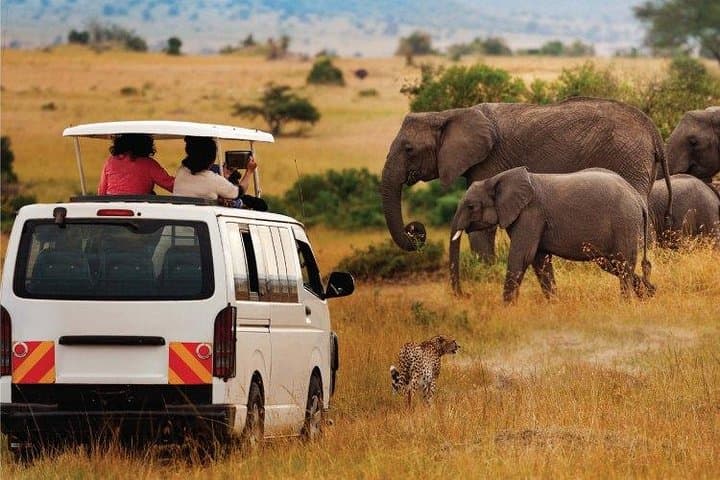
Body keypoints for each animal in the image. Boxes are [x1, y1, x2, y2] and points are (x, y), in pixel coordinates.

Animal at [381, 97, 672, 262]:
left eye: (409, 149)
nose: (415, 229)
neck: (447, 114)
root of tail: (653, 131)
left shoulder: (490, 161)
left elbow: (483, 228)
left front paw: (485, 272)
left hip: (626, 158)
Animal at [449, 167, 655, 302]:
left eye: (471, 207)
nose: (465, 295)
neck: (496, 179)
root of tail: (638, 198)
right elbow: (539, 260)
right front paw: (553, 304)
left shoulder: (530, 214)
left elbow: (522, 256)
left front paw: (506, 309)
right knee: (613, 264)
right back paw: (649, 294)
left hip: (624, 223)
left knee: (622, 263)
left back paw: (627, 302)